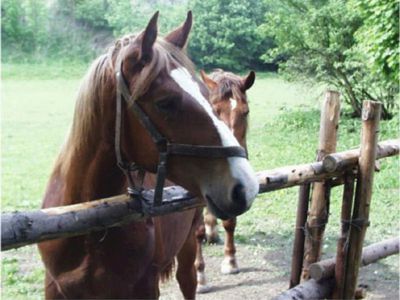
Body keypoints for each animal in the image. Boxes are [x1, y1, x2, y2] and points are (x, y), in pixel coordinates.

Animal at [195, 68, 256, 292]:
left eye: (245, 112)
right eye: (214, 111)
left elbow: (230, 222)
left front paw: (230, 262)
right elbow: (196, 232)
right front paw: (200, 277)